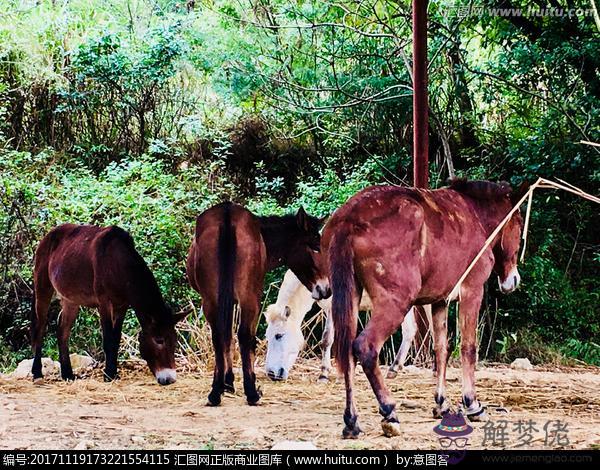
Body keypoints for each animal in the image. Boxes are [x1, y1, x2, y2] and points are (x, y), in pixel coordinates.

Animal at [32, 225, 188, 386]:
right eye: (159, 341)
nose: (170, 379)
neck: (118, 263)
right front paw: (108, 375)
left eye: (175, 341)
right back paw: (37, 373)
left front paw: (113, 373)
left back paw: (67, 374)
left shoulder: (122, 305)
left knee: (63, 331)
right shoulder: (104, 303)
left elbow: (116, 339)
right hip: (43, 287)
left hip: (71, 299)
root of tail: (50, 234)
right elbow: (108, 340)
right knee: (40, 327)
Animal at [188, 200, 328, 406]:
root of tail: (227, 217)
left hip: (212, 299)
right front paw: (229, 383)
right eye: (316, 247)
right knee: (245, 335)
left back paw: (216, 393)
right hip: (249, 296)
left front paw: (225, 384)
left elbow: (227, 336)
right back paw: (251, 392)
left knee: (221, 335)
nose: (326, 288)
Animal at [264, 268, 432, 382]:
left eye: (278, 335)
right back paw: (394, 369)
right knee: (410, 331)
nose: (271, 374)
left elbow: (327, 339)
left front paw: (324, 374)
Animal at [318, 179, 524, 436]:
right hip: (395, 302)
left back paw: (352, 420)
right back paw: (388, 409)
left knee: (347, 352)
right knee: (365, 346)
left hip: (350, 295)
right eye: (519, 225)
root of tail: (349, 218)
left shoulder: (439, 301)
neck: (476, 214)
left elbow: (441, 350)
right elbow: (468, 348)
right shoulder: (472, 291)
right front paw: (472, 404)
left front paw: (441, 403)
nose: (513, 280)